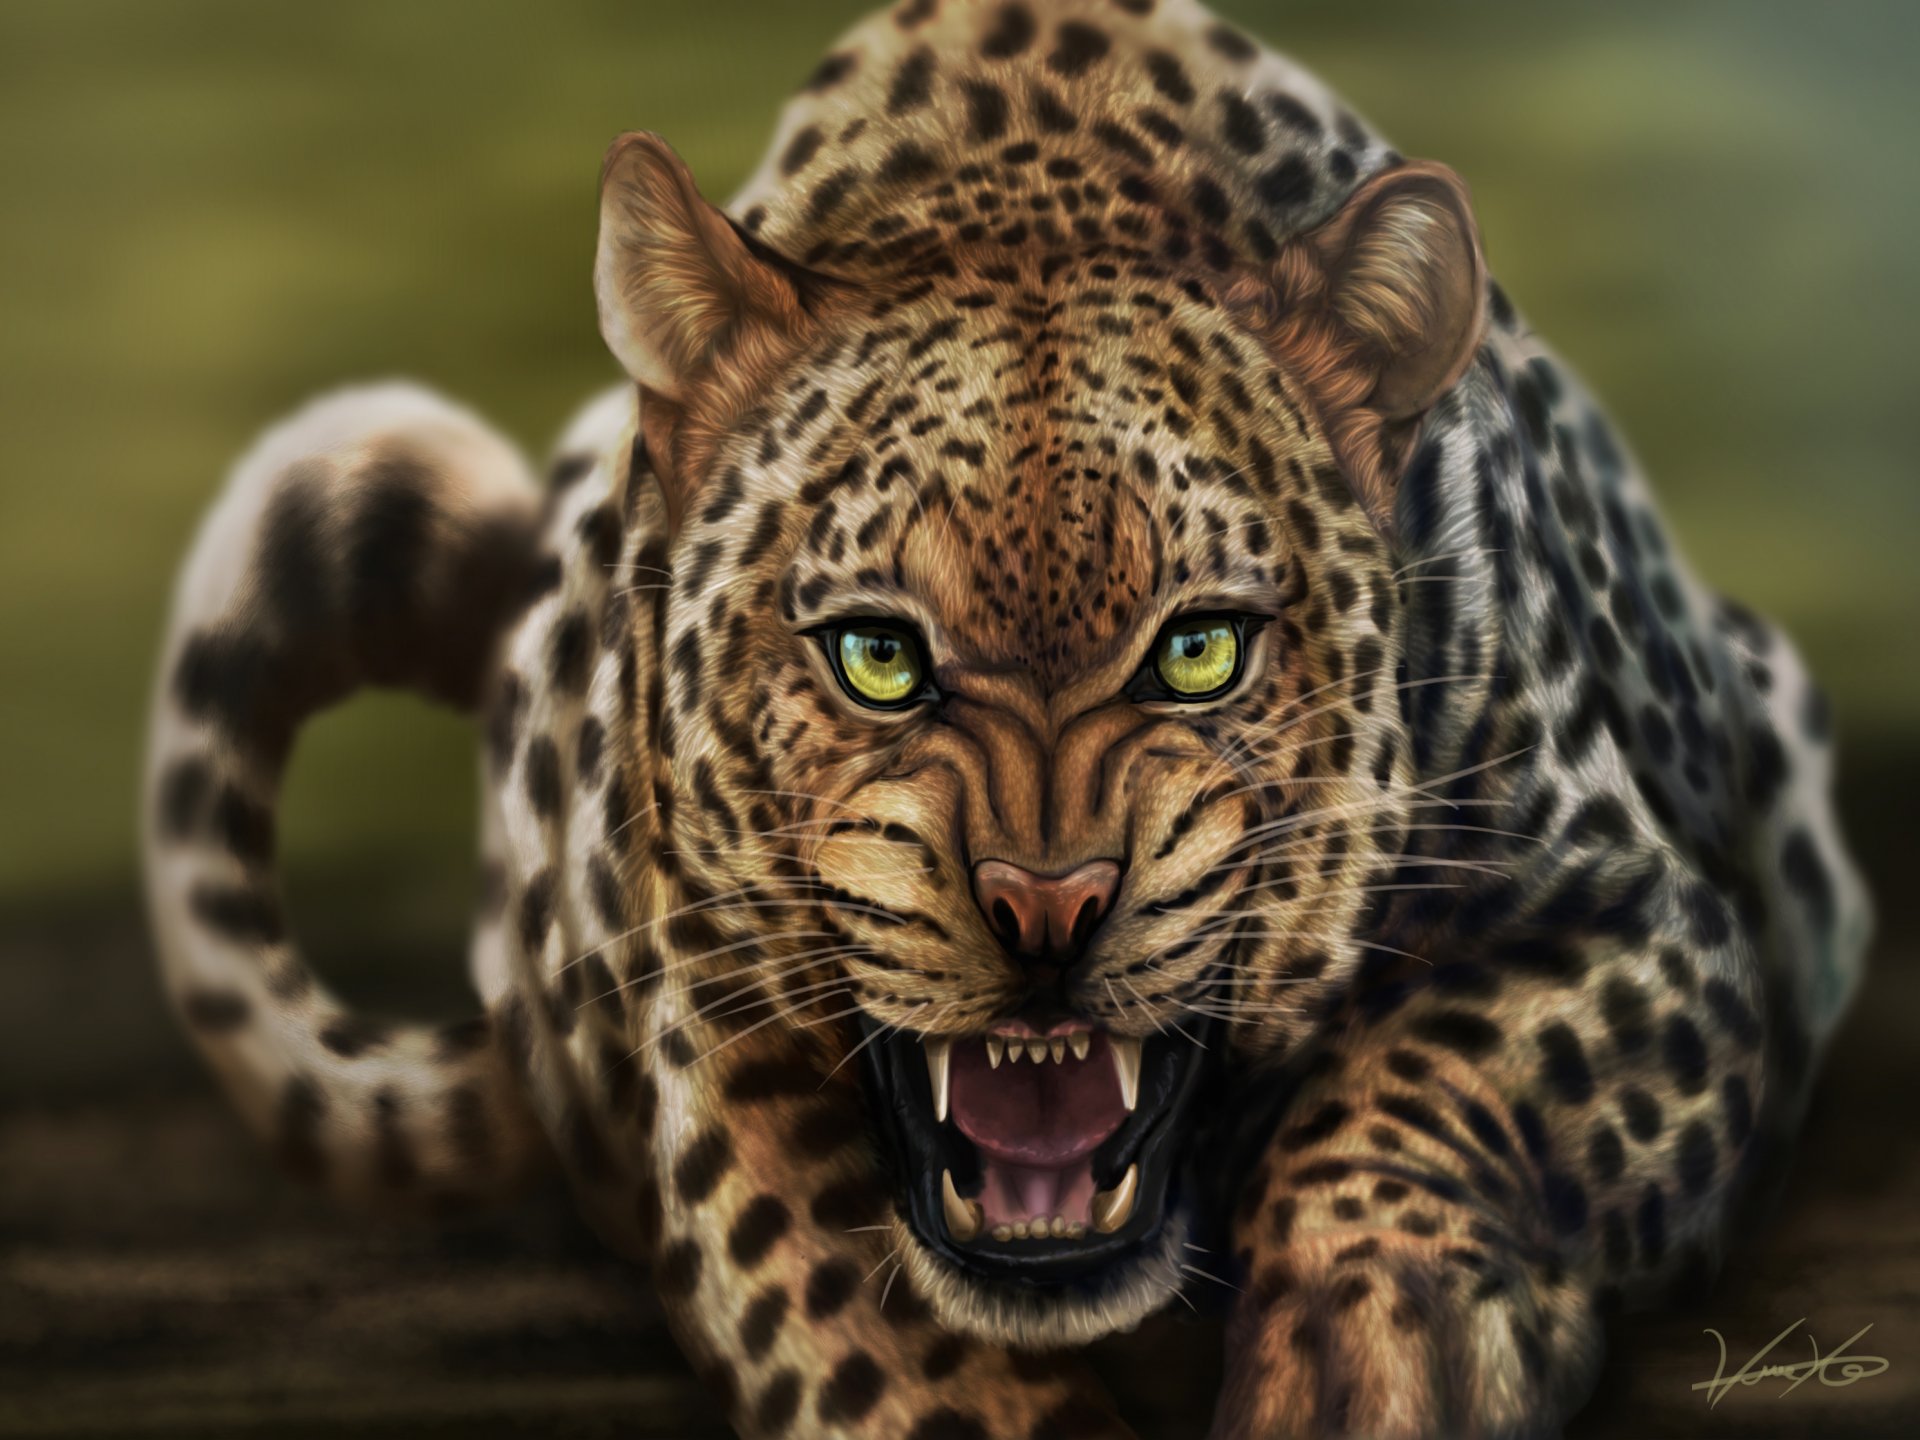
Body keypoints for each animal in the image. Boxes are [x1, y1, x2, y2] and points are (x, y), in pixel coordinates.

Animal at [143, 1, 1871, 1436]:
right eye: (877, 659)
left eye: (1198, 652)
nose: (1048, 911)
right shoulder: (714, 1026)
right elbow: (867, 1328)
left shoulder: (1645, 921)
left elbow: (1439, 1078)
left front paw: (1373, 1360)